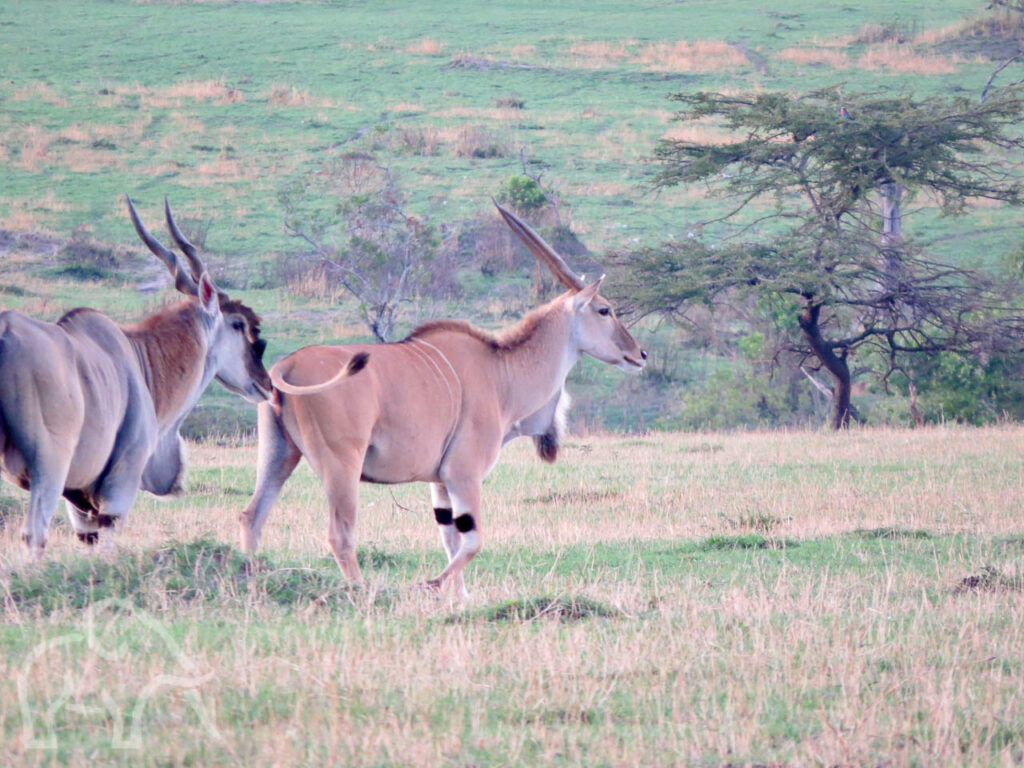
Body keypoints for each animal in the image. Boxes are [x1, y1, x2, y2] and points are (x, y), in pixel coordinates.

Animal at [0, 196, 276, 561]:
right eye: (238, 325)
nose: (266, 383)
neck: (139, 356)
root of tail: (5, 333)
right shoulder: (118, 485)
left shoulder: (79, 503)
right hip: (49, 467)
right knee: (34, 533)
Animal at [240, 202, 643, 593]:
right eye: (604, 310)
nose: (639, 355)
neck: (501, 371)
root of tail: (286, 366)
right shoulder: (463, 473)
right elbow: (472, 542)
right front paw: (432, 585)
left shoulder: (439, 483)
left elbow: (452, 540)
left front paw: (458, 601)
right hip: (341, 465)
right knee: (339, 534)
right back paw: (360, 594)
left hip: (280, 454)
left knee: (251, 516)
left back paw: (251, 580)